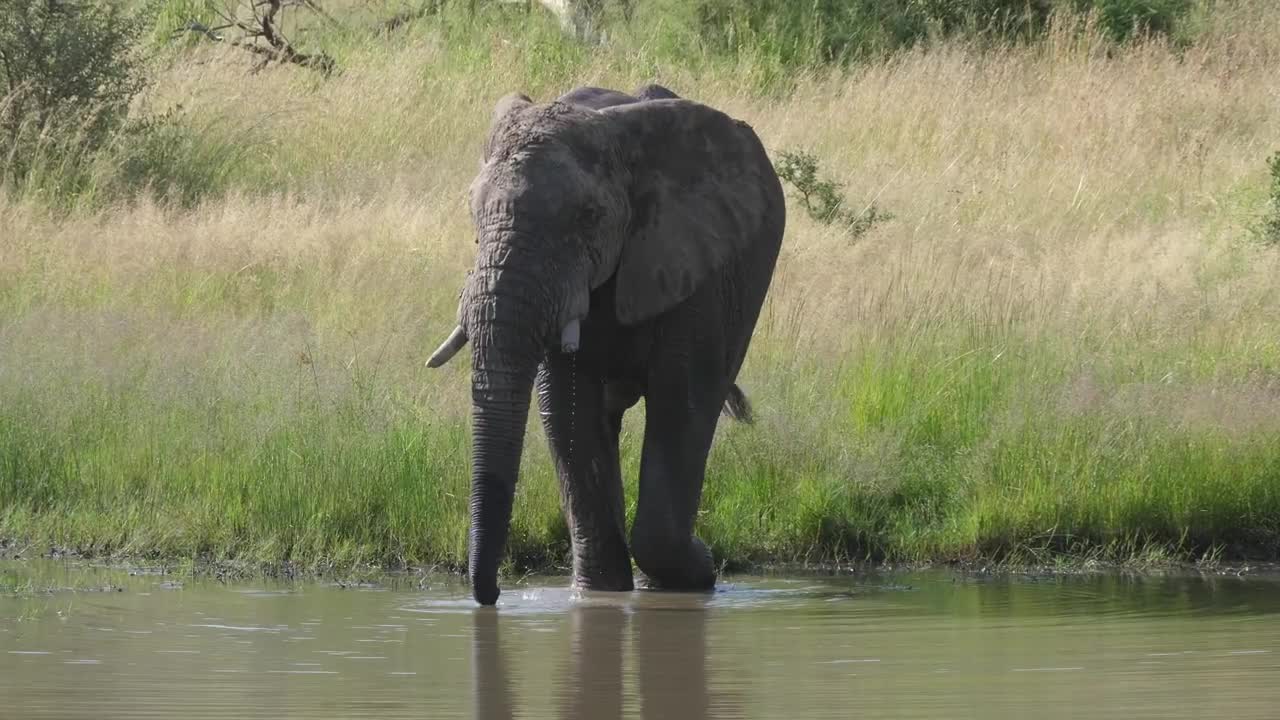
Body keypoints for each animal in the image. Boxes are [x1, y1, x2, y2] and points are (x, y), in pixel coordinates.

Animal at [430, 81, 783, 602]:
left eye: (589, 216)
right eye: (473, 214)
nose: (491, 596)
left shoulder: (695, 269)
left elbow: (683, 402)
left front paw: (695, 572)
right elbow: (569, 411)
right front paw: (601, 595)